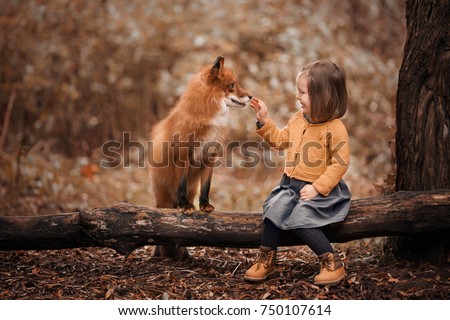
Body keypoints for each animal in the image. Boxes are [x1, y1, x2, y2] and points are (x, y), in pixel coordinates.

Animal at [149, 55, 251, 258]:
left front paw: (205, 206)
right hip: (162, 200)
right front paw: (186, 205)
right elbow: (180, 185)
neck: (208, 117)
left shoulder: (210, 157)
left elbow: (206, 187)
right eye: (232, 85)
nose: (251, 97)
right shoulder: (183, 155)